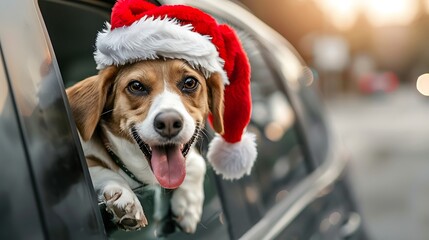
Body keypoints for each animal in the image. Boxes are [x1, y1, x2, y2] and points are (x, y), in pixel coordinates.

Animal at [66, 58, 224, 232]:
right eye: (136, 86)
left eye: (190, 82)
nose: (169, 123)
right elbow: (101, 171)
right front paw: (124, 195)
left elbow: (197, 163)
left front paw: (189, 203)